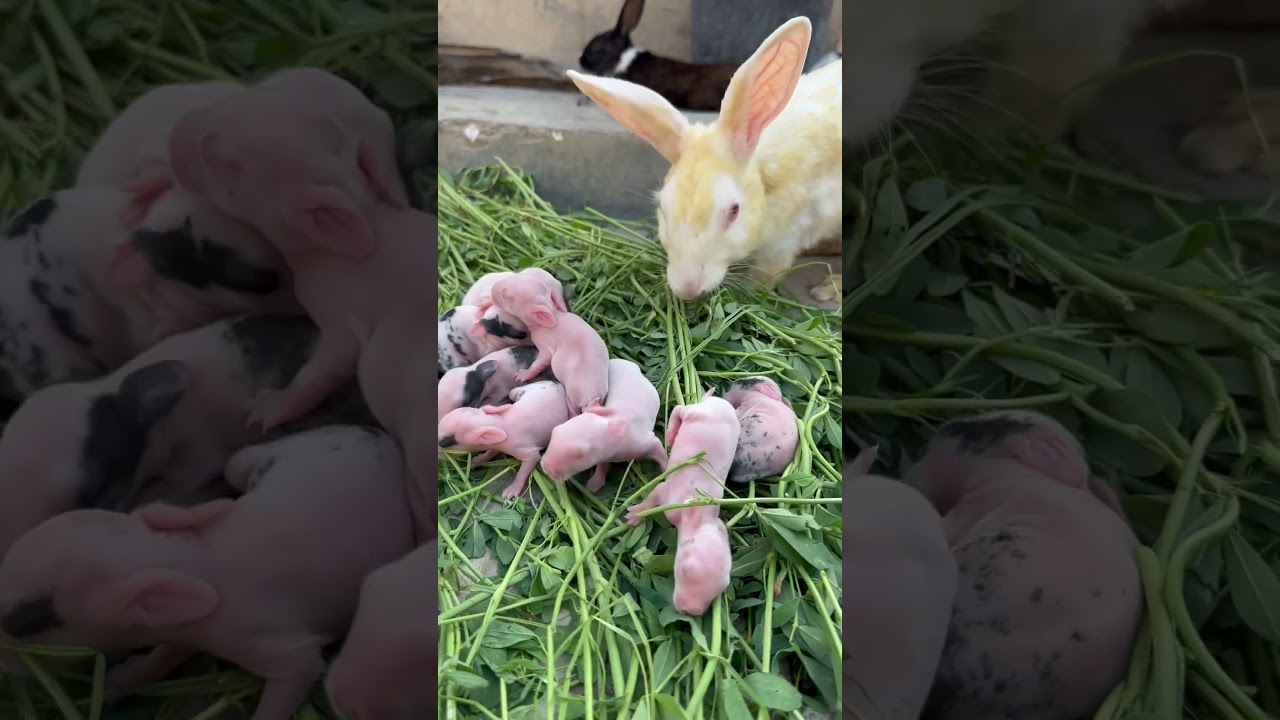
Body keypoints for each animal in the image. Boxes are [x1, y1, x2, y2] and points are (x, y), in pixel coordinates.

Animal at [569, 17, 842, 303]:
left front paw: (751, 294)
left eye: (734, 211)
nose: (687, 289)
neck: (763, 177)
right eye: (662, 207)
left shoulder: (784, 239)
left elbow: (765, 275)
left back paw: (828, 288)